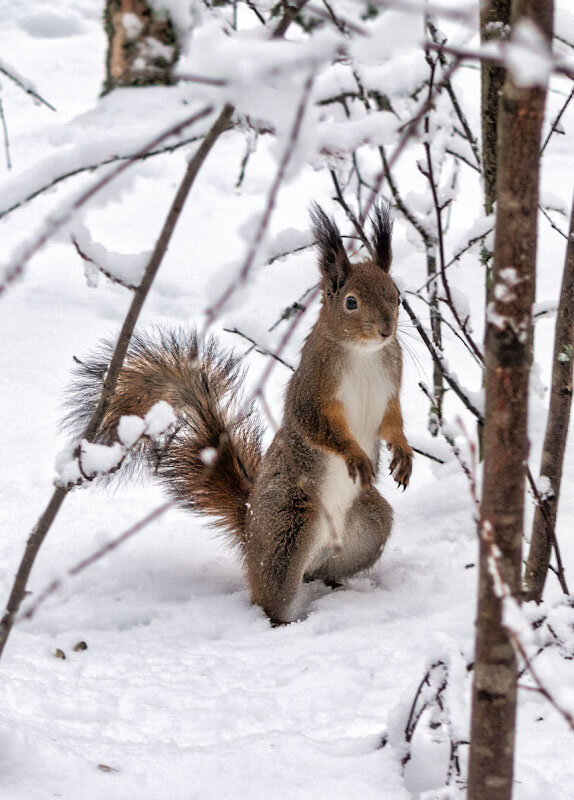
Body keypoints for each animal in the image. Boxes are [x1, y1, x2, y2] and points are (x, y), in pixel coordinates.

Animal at [65, 205, 412, 624]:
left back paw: (335, 586)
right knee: (269, 592)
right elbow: (319, 426)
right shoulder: (313, 390)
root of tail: (249, 527)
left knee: (323, 570)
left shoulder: (391, 384)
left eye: (397, 296)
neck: (364, 354)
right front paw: (356, 455)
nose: (386, 330)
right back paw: (285, 619)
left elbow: (392, 422)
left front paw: (403, 454)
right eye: (350, 302)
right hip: (288, 529)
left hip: (370, 524)